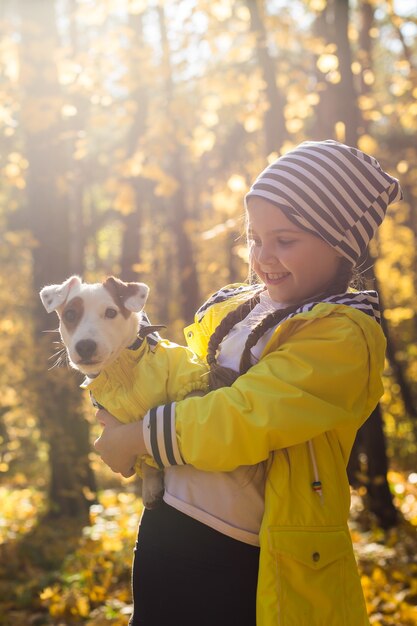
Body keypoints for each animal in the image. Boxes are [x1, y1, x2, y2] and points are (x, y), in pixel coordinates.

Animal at [39, 274, 207, 508]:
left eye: (111, 312)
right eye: (70, 315)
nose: (85, 346)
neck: (120, 369)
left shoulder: (190, 378)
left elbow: (191, 399)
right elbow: (144, 458)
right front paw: (150, 485)